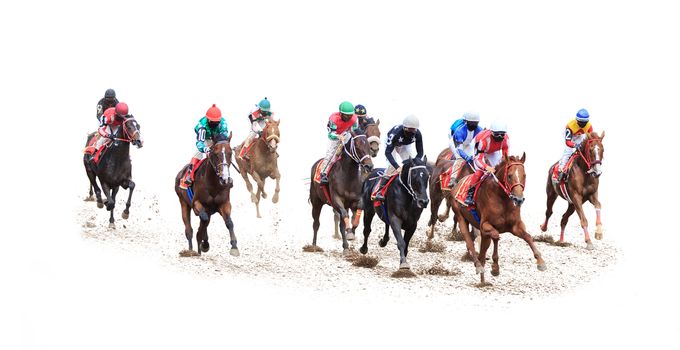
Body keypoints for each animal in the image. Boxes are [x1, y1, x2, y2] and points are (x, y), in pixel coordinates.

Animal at [452, 154, 548, 284]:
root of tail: (457, 184)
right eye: (509, 175)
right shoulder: (485, 225)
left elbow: (528, 237)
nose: (519, 199)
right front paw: (495, 268)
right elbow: (496, 236)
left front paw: (541, 262)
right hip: (461, 218)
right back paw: (478, 266)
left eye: (524, 175)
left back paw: (483, 279)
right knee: (470, 242)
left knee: (482, 253)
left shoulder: (515, 226)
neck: (502, 198)